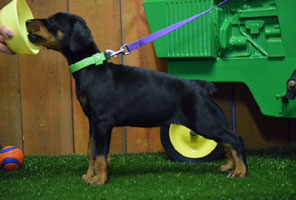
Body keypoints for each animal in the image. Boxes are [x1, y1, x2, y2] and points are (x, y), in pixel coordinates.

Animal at [26, 12, 247, 184]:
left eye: (51, 21)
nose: (27, 21)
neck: (90, 69)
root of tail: (200, 85)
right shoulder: (93, 122)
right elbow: (91, 151)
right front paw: (90, 176)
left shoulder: (102, 122)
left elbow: (100, 154)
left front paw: (99, 180)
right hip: (204, 120)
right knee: (226, 140)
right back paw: (229, 166)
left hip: (202, 121)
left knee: (233, 138)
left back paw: (241, 171)